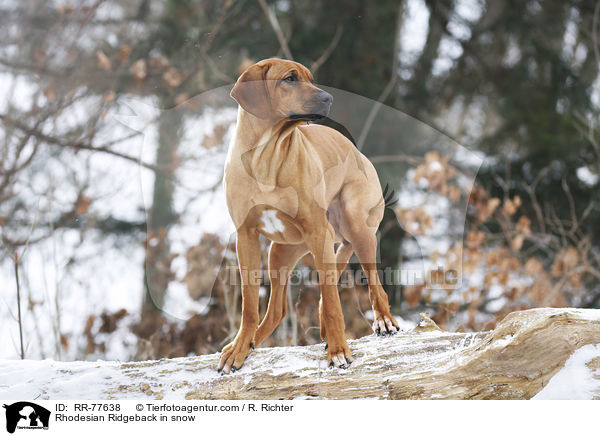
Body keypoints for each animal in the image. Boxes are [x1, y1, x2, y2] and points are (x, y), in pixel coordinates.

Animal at [217, 56, 398, 372]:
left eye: (311, 78)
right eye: (289, 79)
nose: (329, 98)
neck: (267, 156)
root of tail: (358, 152)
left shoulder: (318, 231)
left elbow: (334, 303)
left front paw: (339, 351)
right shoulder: (245, 236)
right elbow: (249, 304)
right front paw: (239, 347)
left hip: (353, 225)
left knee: (372, 283)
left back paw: (383, 320)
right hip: (281, 250)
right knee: (277, 309)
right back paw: (251, 343)